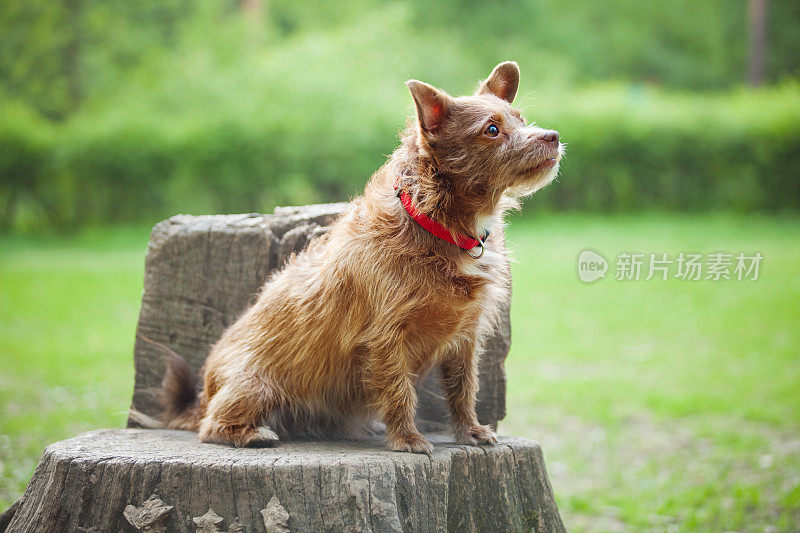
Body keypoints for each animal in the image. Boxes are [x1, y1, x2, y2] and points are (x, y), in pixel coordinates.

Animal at [155, 62, 564, 454]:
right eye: (492, 130)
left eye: (521, 119)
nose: (553, 136)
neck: (437, 225)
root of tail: (205, 392)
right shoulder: (386, 338)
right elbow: (400, 391)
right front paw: (407, 439)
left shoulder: (465, 339)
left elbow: (463, 390)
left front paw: (470, 430)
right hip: (255, 386)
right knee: (211, 426)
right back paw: (252, 434)